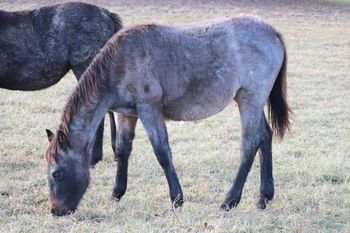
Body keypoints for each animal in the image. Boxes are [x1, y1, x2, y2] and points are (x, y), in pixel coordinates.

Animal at [44, 16, 290, 216]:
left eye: (57, 174)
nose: (55, 211)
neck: (119, 62)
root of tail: (273, 33)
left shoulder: (149, 109)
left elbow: (162, 152)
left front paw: (177, 200)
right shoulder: (127, 115)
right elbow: (122, 151)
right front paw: (116, 193)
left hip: (250, 100)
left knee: (250, 145)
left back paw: (230, 200)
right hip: (251, 102)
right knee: (264, 137)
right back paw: (264, 197)